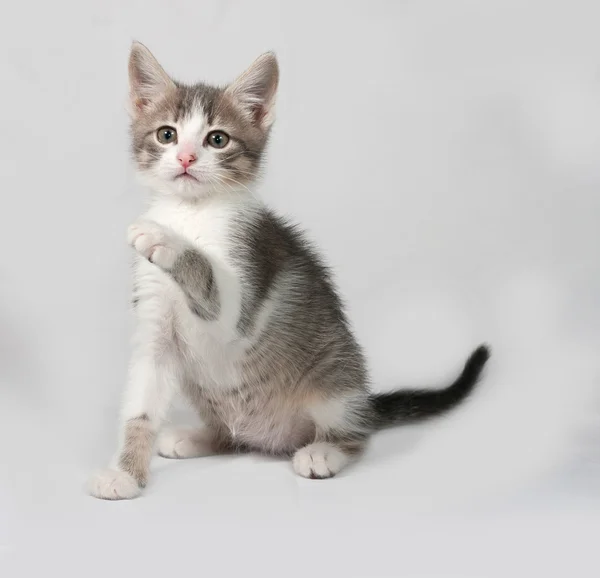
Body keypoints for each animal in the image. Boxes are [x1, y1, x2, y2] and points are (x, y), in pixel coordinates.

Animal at [90, 41, 492, 500]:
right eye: (166, 134)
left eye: (217, 139)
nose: (188, 158)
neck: (192, 213)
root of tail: (270, 439)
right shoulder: (155, 330)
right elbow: (140, 407)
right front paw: (125, 473)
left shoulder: (244, 291)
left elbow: (210, 276)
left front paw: (161, 237)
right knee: (233, 436)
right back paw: (198, 437)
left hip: (335, 380)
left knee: (357, 433)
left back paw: (324, 451)